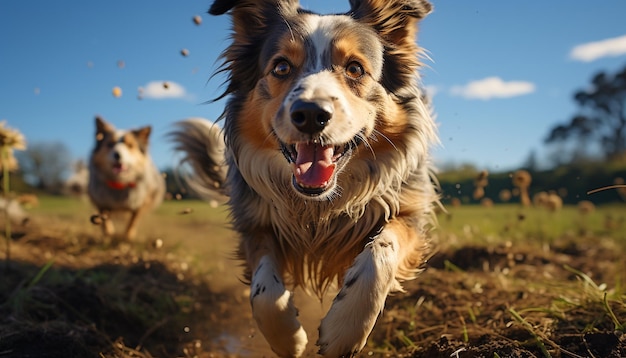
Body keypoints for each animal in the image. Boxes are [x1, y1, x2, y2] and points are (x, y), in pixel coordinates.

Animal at [168, 0, 436, 356]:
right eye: (281, 67)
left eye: (355, 69)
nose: (310, 113)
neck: (318, 207)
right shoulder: (255, 223)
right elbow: (264, 291)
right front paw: (287, 338)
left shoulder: (409, 212)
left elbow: (379, 255)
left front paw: (344, 329)